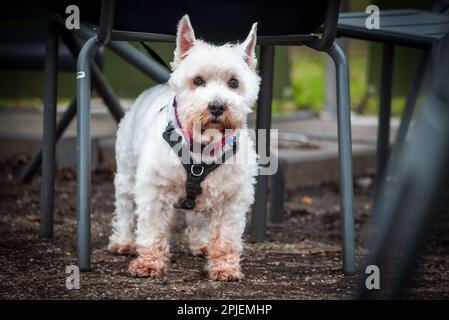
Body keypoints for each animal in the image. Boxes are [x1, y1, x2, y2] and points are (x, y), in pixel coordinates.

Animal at [108, 15, 260, 280]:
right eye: (198, 81)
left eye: (234, 82)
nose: (217, 106)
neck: (203, 148)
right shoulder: (155, 190)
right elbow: (153, 230)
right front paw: (149, 263)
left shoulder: (232, 197)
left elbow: (226, 237)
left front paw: (225, 267)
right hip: (126, 171)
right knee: (125, 207)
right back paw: (123, 241)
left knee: (196, 217)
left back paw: (201, 244)